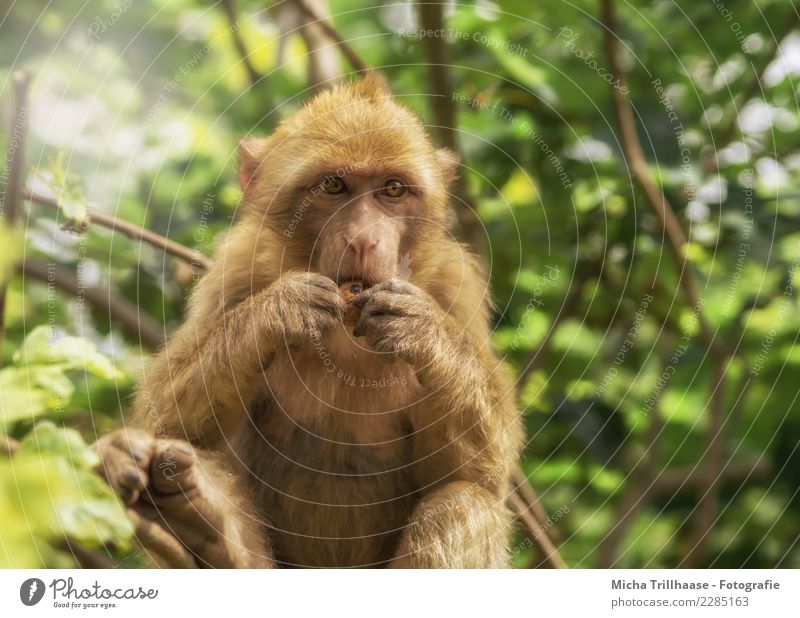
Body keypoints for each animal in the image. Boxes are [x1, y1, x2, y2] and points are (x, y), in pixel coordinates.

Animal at [94, 74, 524, 564]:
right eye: (333, 186)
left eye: (393, 190)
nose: (363, 239)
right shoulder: (236, 268)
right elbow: (165, 420)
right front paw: (279, 310)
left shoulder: (456, 284)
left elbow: (479, 470)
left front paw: (421, 329)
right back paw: (204, 522)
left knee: (462, 501)